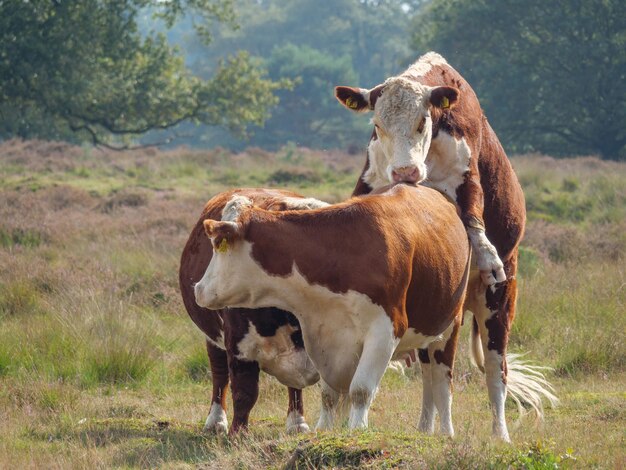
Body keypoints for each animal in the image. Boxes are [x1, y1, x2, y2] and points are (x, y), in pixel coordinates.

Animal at [177, 187, 322, 434]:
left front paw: (299, 424)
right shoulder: (239, 345)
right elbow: (244, 392)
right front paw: (238, 433)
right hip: (213, 336)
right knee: (219, 375)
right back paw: (216, 421)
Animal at [194, 185, 468, 434]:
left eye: (218, 244)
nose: (198, 288)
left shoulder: (385, 331)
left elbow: (360, 389)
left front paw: (357, 429)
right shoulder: (323, 334)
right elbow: (328, 394)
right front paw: (324, 429)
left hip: (449, 327)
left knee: (441, 383)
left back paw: (446, 431)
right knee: (428, 380)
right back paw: (424, 428)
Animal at [334, 51, 552, 440]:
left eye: (423, 122)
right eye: (378, 125)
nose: (404, 173)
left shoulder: (467, 176)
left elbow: (473, 209)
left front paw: (485, 253)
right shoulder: (373, 177)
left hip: (498, 303)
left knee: (494, 371)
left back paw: (499, 434)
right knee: (430, 371)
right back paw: (425, 428)